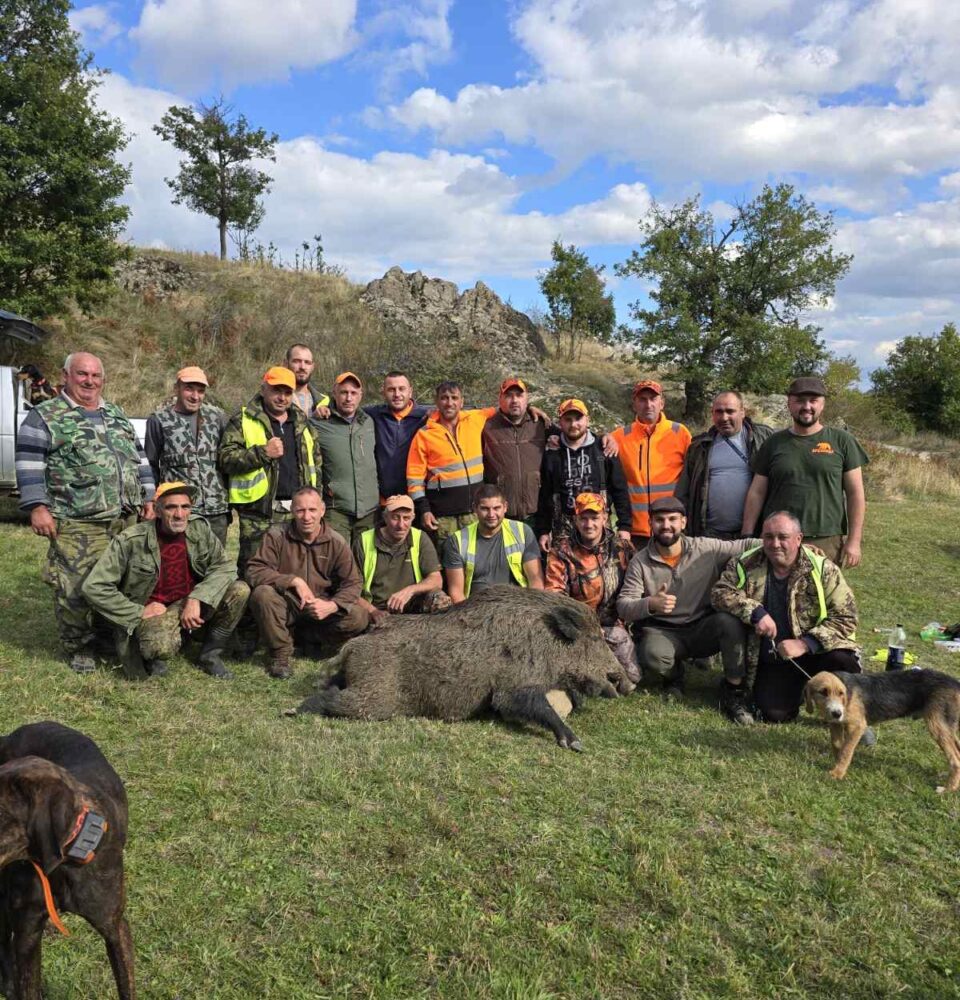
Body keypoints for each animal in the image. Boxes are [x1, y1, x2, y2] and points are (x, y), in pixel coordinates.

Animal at [808, 668, 960, 792]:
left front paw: (838, 773)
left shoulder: (857, 726)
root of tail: (955, 683)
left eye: (841, 693)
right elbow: (837, 745)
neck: (847, 691)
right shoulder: (836, 725)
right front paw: (839, 765)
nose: (837, 713)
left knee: (955, 759)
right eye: (822, 692)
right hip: (947, 728)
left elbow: (846, 750)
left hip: (937, 726)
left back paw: (948, 789)